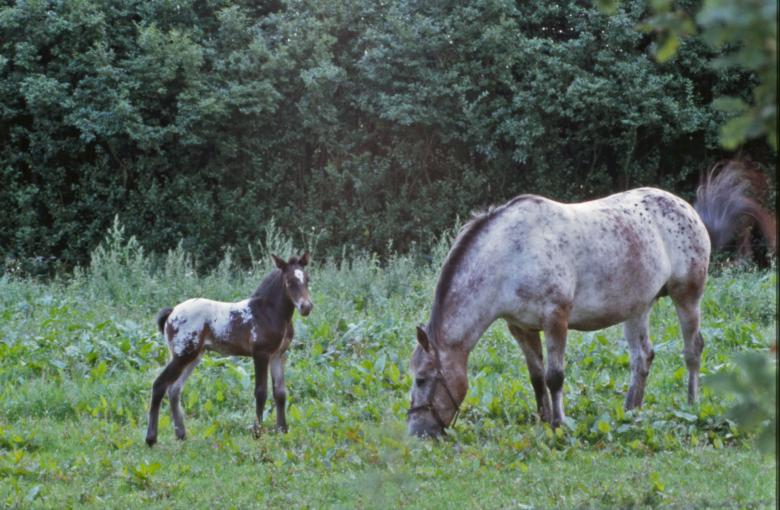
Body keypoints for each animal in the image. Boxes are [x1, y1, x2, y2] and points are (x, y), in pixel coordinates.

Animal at [145, 253, 313, 446]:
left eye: (307, 279)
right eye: (289, 281)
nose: (306, 307)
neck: (267, 312)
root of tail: (172, 312)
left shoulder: (278, 355)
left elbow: (280, 393)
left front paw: (283, 431)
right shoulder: (260, 354)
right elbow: (261, 392)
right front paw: (257, 433)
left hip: (193, 357)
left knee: (174, 389)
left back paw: (181, 434)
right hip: (182, 355)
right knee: (159, 385)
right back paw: (151, 438)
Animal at [407, 184, 729, 438]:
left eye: (421, 379)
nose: (416, 433)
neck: (511, 256)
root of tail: (686, 208)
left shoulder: (555, 318)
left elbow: (555, 377)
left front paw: (558, 425)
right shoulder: (521, 327)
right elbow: (536, 377)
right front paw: (543, 419)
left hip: (687, 296)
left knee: (692, 350)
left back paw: (691, 404)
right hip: (637, 307)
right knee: (642, 358)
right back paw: (630, 411)